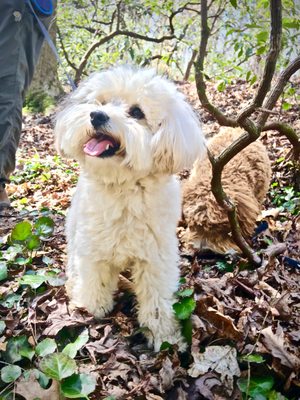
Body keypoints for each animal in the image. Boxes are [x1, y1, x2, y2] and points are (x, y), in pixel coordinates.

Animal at [54, 66, 206, 350]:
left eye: (137, 112)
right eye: (101, 102)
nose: (97, 115)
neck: (123, 188)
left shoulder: (156, 257)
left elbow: (157, 298)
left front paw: (164, 335)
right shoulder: (93, 249)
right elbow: (95, 280)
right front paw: (91, 309)